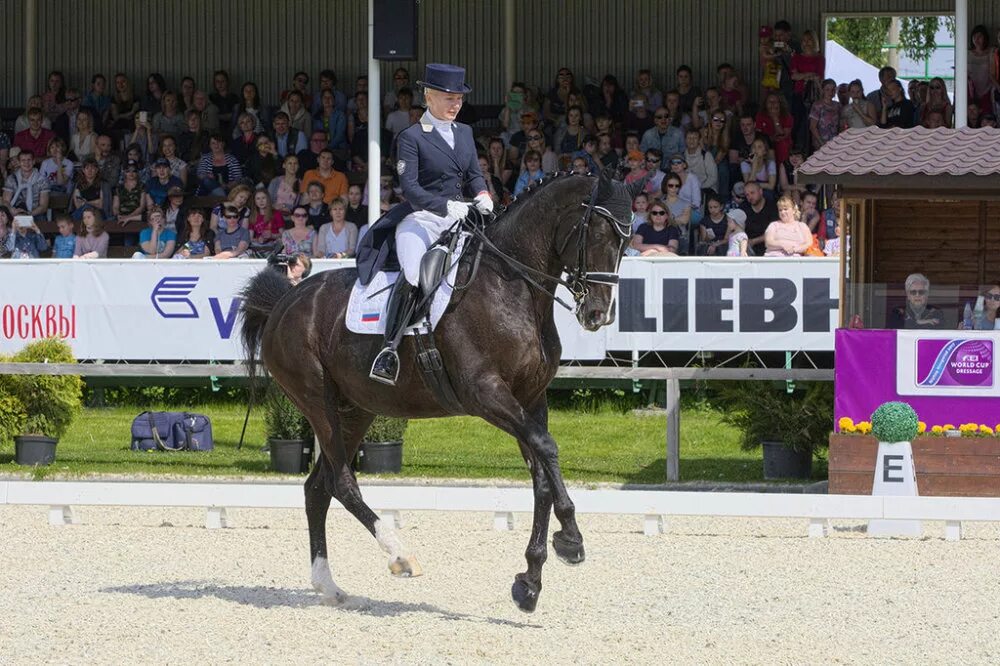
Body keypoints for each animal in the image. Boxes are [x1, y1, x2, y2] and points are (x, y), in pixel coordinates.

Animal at [244, 169, 640, 608]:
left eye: (626, 241)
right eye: (597, 233)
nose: (597, 314)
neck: (513, 288)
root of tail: (285, 301)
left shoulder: (531, 399)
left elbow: (541, 476)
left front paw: (530, 580)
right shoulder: (485, 393)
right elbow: (547, 449)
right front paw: (570, 539)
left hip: (357, 409)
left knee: (317, 488)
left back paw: (328, 585)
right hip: (318, 402)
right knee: (340, 482)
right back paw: (400, 555)